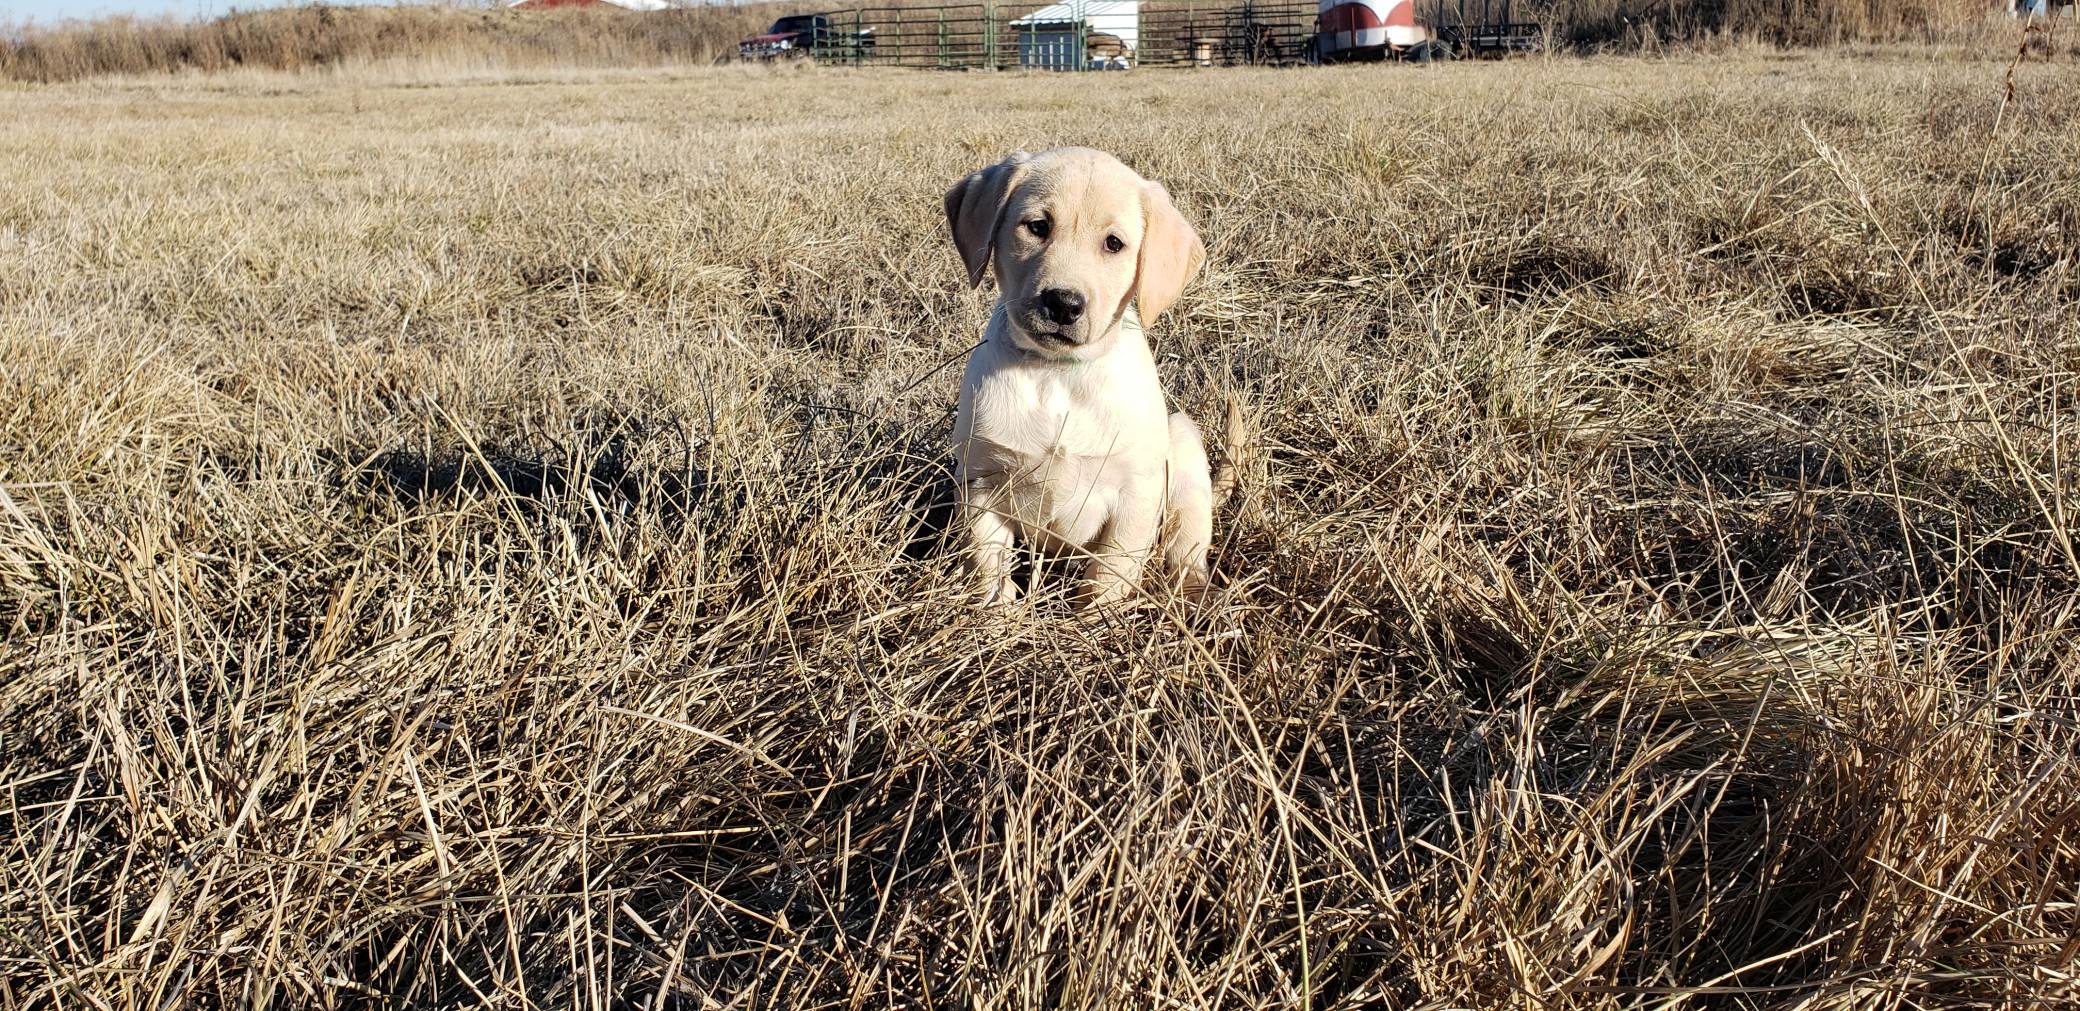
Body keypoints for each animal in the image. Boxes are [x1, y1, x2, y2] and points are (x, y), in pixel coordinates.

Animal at [944, 147, 1231, 607]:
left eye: (1114, 244)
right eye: (1037, 227)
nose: (1063, 303)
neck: (1058, 374)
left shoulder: (1136, 495)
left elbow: (1108, 576)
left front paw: (1095, 620)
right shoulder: (979, 483)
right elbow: (988, 568)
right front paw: (993, 615)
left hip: (1184, 451)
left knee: (1186, 553)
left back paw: (1194, 597)